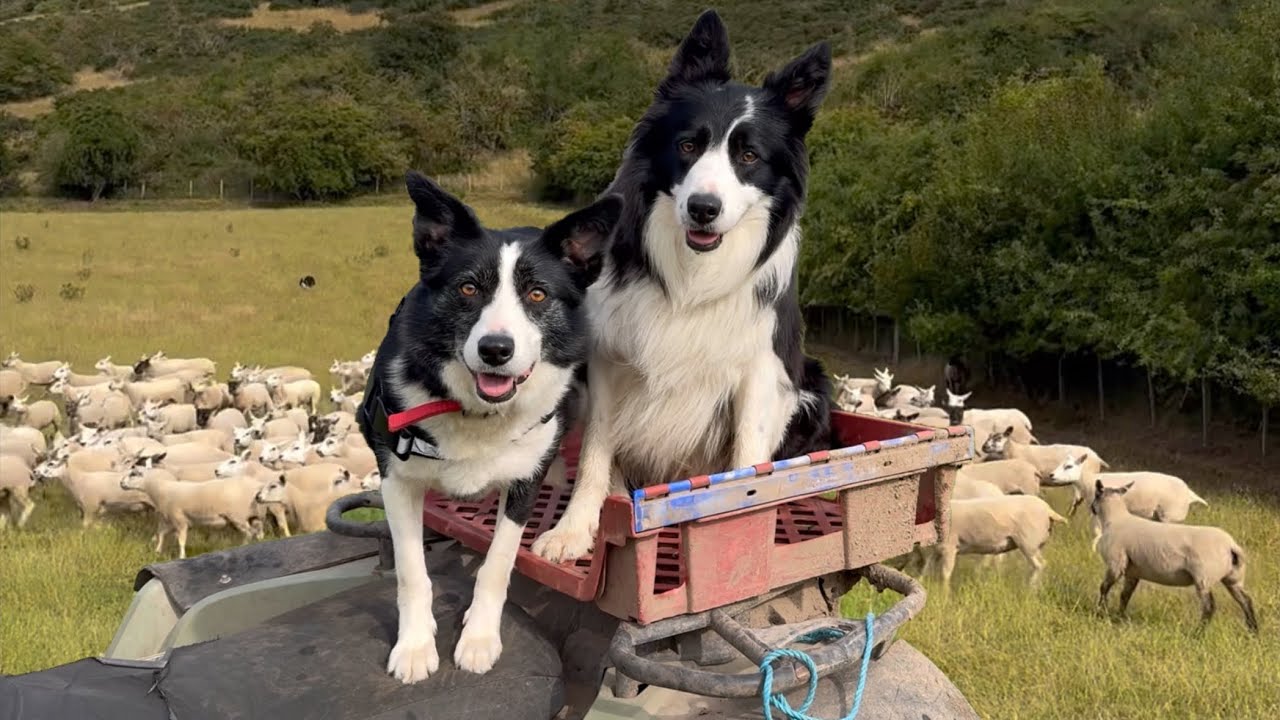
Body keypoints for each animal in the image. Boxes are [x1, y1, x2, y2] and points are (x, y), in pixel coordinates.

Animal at [120, 466, 264, 559]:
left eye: (133, 474)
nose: (121, 483)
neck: (160, 489)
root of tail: (257, 484)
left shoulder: (179, 520)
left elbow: (181, 541)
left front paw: (181, 557)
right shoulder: (171, 520)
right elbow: (161, 534)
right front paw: (158, 551)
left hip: (238, 516)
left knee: (249, 533)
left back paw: (243, 547)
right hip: (253, 516)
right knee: (258, 532)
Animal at [924, 495, 1067, 589]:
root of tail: (1048, 510)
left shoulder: (950, 548)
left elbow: (945, 574)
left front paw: (945, 593)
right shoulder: (937, 550)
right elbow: (926, 568)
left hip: (1028, 543)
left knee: (1039, 565)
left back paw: (1030, 588)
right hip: (1035, 545)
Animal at [1049, 453, 1207, 549]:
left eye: (1068, 466)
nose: (1051, 475)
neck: (1088, 481)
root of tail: (1189, 493)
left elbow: (1097, 533)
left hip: (1170, 516)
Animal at [1092, 480, 1257, 633]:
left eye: (1095, 495)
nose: (1091, 508)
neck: (1115, 519)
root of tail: (1231, 546)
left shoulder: (1116, 563)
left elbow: (1104, 588)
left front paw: (1100, 613)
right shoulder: (1133, 571)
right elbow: (1125, 595)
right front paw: (1119, 617)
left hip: (1204, 577)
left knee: (1209, 606)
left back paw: (1198, 633)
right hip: (1234, 577)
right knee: (1246, 601)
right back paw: (1253, 631)